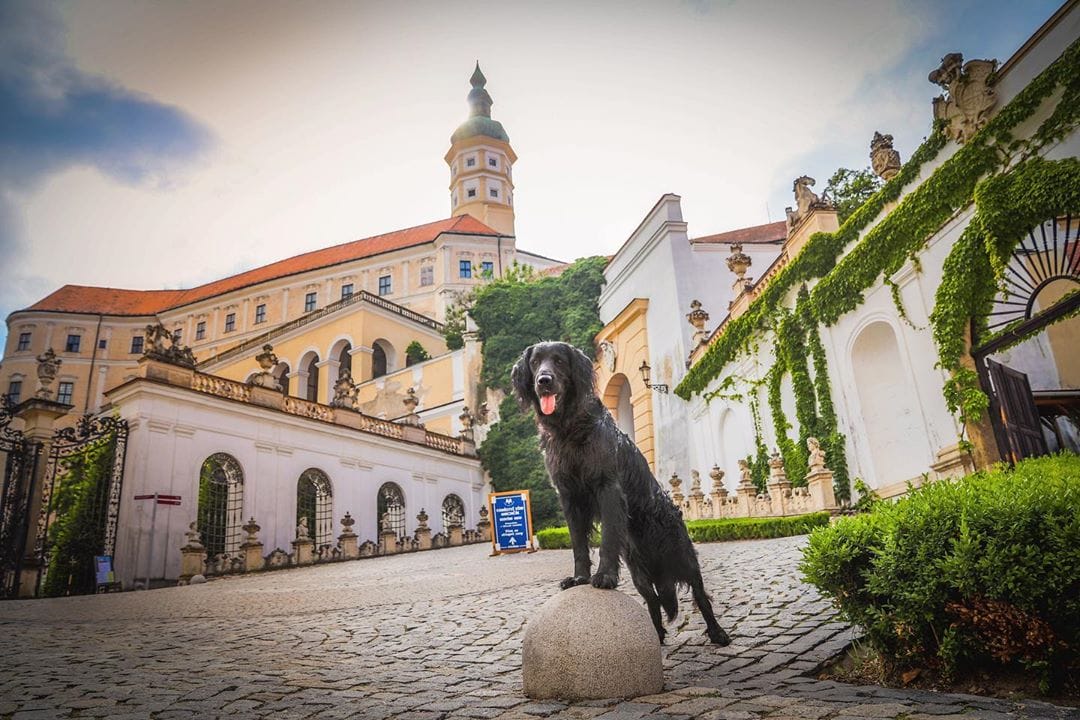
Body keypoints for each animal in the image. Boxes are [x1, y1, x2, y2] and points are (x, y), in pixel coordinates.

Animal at [512, 341, 731, 645]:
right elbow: (578, 544)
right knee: (653, 600)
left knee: (700, 595)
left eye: (558, 361)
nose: (543, 381)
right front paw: (579, 578)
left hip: (683, 556)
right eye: (535, 363)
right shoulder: (569, 496)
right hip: (639, 573)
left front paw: (603, 576)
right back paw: (657, 636)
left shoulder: (608, 486)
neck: (569, 428)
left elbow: (607, 541)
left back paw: (718, 632)